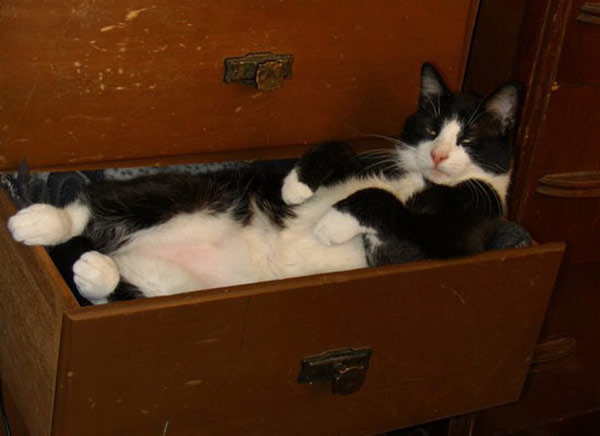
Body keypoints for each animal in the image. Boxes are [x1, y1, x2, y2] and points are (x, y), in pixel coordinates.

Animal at [7, 63, 516, 304]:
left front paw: (332, 225)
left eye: (469, 139)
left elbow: (382, 204)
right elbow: (336, 147)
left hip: (175, 286)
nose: (438, 154)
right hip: (196, 190)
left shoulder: (445, 247)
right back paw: (40, 222)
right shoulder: (368, 156)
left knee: (112, 287)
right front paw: (295, 187)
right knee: (101, 203)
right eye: (429, 127)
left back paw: (94, 269)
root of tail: (121, 252)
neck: (420, 180)